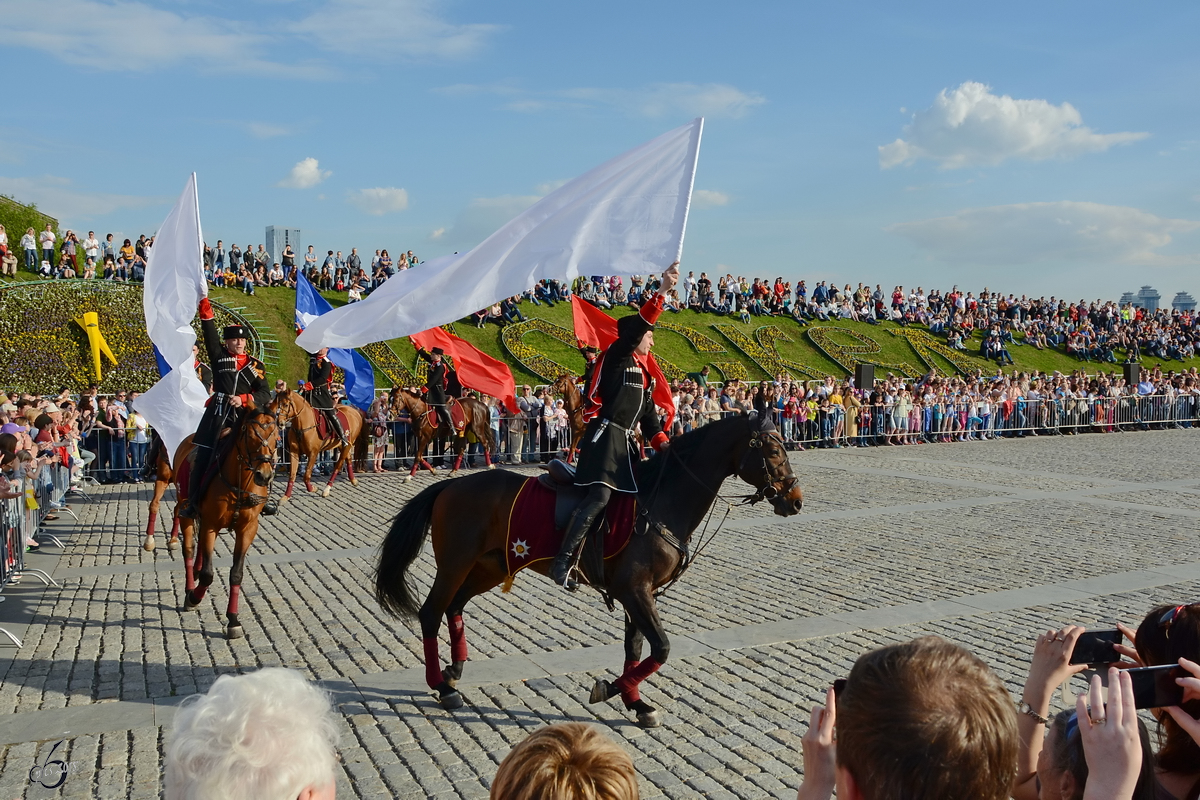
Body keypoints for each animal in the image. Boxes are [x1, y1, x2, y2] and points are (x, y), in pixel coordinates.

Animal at [175, 410, 279, 642]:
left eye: (277, 438)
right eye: (250, 436)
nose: (264, 475)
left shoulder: (247, 530)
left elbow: (236, 573)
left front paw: (233, 620)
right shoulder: (211, 525)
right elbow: (208, 574)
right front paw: (194, 597)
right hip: (184, 509)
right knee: (189, 548)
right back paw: (190, 587)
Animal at [376, 410, 806, 729]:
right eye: (772, 449)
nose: (796, 500)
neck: (661, 500)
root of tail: (450, 488)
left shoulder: (638, 592)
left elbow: (637, 649)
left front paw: (636, 703)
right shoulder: (636, 590)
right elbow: (661, 648)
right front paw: (611, 690)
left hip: (489, 568)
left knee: (455, 608)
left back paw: (454, 670)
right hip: (455, 564)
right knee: (431, 613)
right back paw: (442, 685)